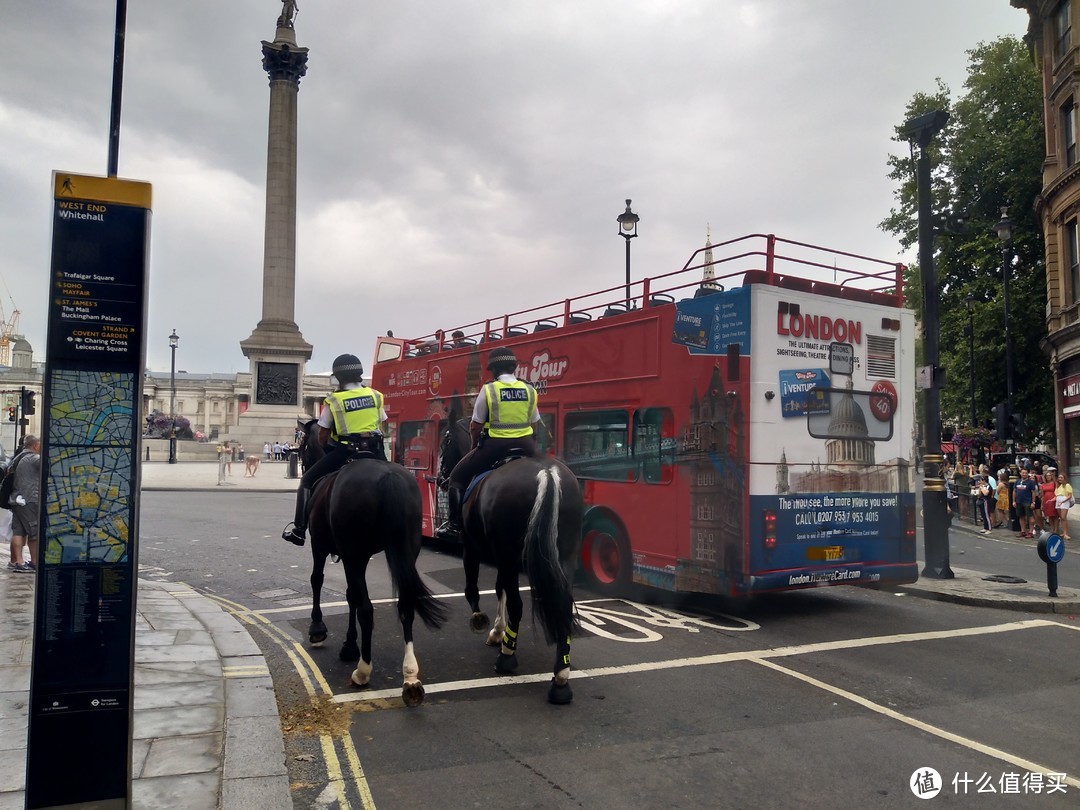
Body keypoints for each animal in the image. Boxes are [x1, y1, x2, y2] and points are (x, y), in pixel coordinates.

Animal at [298, 421, 444, 708]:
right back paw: (411, 677)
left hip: (352, 552)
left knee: (367, 609)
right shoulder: (359, 556)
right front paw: (349, 644)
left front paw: (318, 630)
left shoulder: (324, 546)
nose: (302, 465)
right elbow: (350, 595)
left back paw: (363, 671)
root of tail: (388, 478)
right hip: (405, 550)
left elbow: (319, 581)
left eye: (302, 446)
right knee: (405, 605)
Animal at [436, 419, 583, 704]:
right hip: (565, 555)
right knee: (562, 604)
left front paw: (487, 625)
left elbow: (478, 587)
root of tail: (546, 474)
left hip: (506, 552)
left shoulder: (474, 548)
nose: (440, 478)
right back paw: (561, 677)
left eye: (445, 442)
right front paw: (498, 631)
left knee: (517, 604)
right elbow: (500, 588)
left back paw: (507, 657)